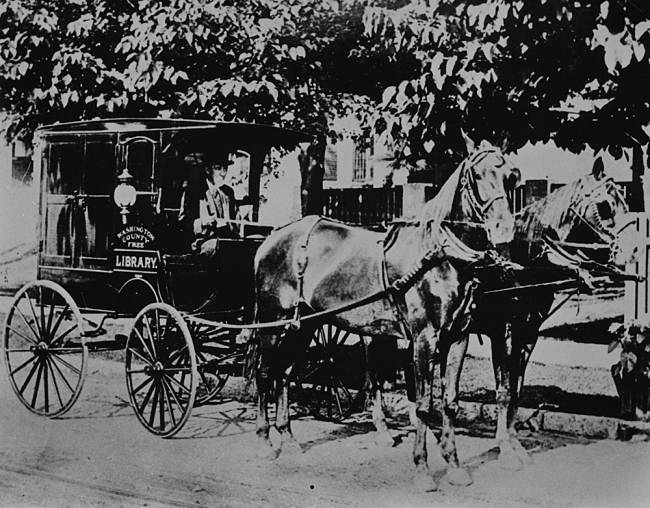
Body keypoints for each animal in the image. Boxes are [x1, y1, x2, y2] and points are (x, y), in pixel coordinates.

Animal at [251, 137, 520, 490]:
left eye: (511, 176)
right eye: (477, 174)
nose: (504, 229)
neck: (438, 256)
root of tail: (273, 236)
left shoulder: (457, 337)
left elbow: (450, 402)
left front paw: (455, 466)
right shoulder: (424, 339)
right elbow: (423, 405)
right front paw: (422, 470)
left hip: (305, 324)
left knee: (283, 372)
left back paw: (289, 438)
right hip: (274, 320)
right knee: (265, 373)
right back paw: (264, 441)